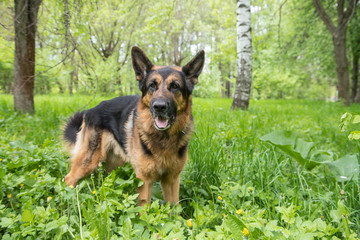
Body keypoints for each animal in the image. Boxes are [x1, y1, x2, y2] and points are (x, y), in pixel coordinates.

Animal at [63, 47, 204, 206]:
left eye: (175, 86)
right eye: (152, 85)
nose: (159, 107)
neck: (163, 138)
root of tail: (90, 110)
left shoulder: (172, 180)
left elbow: (175, 208)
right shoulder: (144, 180)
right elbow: (144, 210)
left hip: (114, 164)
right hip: (89, 161)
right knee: (69, 179)